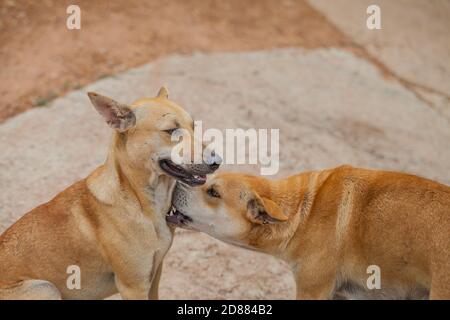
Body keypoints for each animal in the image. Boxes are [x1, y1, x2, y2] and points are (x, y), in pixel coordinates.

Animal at [0, 87, 219, 300]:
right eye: (171, 131)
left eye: (194, 126)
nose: (217, 161)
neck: (140, 202)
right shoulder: (133, 287)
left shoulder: (155, 274)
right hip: (47, 288)